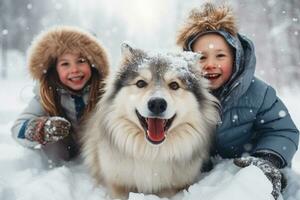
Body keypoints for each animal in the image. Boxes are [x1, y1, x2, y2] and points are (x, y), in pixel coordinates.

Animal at [82, 43, 220, 198]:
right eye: (141, 83)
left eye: (174, 85)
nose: (157, 104)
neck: (151, 152)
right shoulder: (118, 184)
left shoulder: (173, 187)